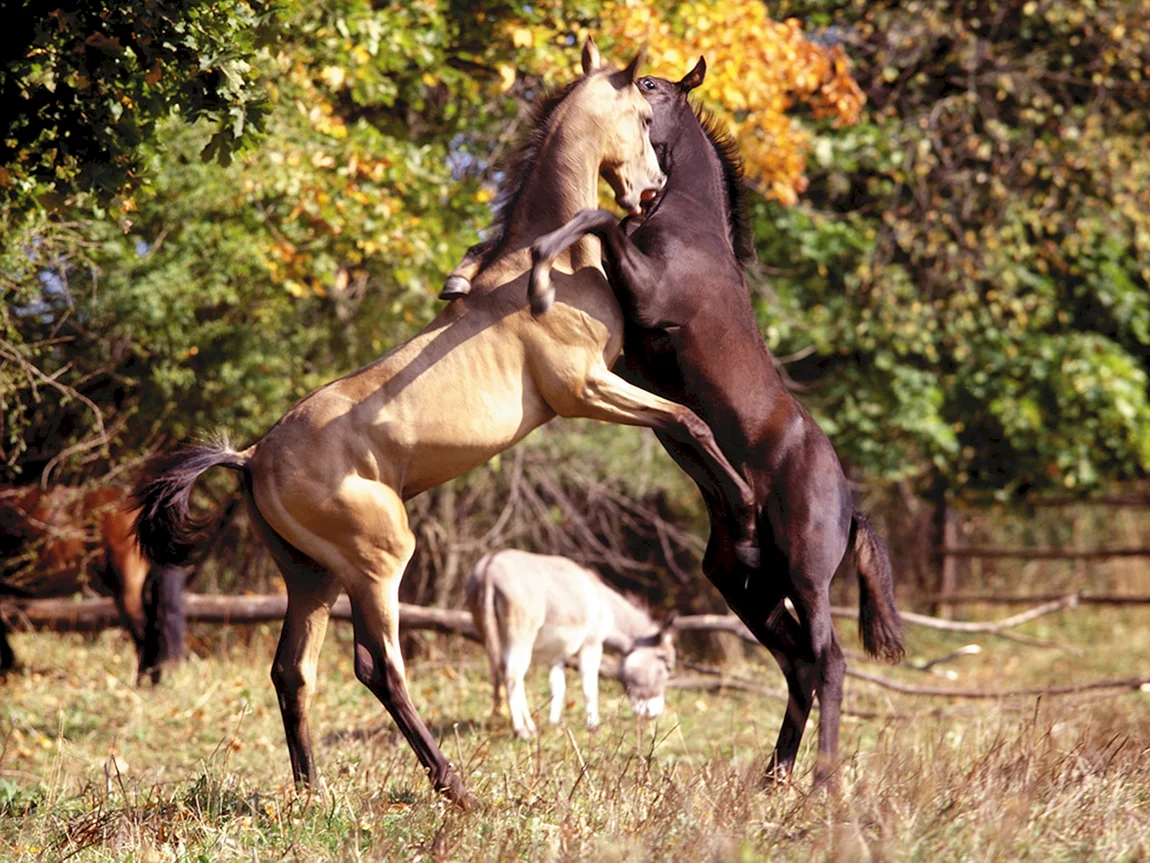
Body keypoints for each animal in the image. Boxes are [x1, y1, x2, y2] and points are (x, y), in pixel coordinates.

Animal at [465, 549, 675, 738]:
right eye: (667, 666)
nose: (654, 713)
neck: (603, 601)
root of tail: (490, 566)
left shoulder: (558, 656)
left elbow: (557, 686)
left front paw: (554, 724)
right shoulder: (592, 644)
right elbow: (590, 687)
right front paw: (593, 727)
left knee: (510, 675)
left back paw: (531, 727)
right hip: (521, 636)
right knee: (512, 677)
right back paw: (522, 731)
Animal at [498, 60, 905, 785]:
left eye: (651, 89)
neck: (689, 230)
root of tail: (850, 504)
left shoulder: (646, 300)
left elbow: (597, 218)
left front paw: (541, 261)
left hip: (805, 574)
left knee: (829, 660)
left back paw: (823, 782)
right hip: (745, 584)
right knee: (799, 663)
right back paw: (774, 776)